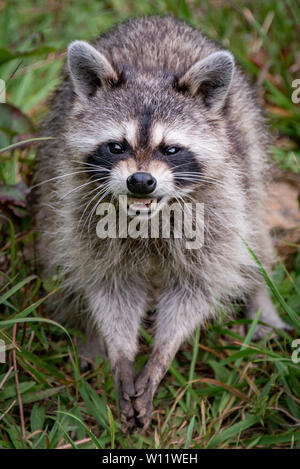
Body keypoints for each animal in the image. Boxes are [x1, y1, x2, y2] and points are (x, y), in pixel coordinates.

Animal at [34, 14, 290, 432]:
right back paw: (87, 334)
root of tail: (157, 18)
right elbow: (110, 287)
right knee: (59, 253)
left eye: (170, 149)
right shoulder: (81, 209)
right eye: (116, 146)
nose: (141, 181)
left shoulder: (219, 208)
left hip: (251, 162)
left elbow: (196, 289)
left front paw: (160, 356)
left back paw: (260, 300)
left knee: (255, 237)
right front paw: (120, 351)